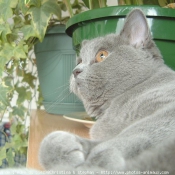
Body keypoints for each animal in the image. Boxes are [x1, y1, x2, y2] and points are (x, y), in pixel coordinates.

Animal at [1, 9, 175, 175]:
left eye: (101, 55)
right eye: (79, 61)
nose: (75, 70)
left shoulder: (166, 109)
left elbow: (137, 132)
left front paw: (98, 160)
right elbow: (49, 140)